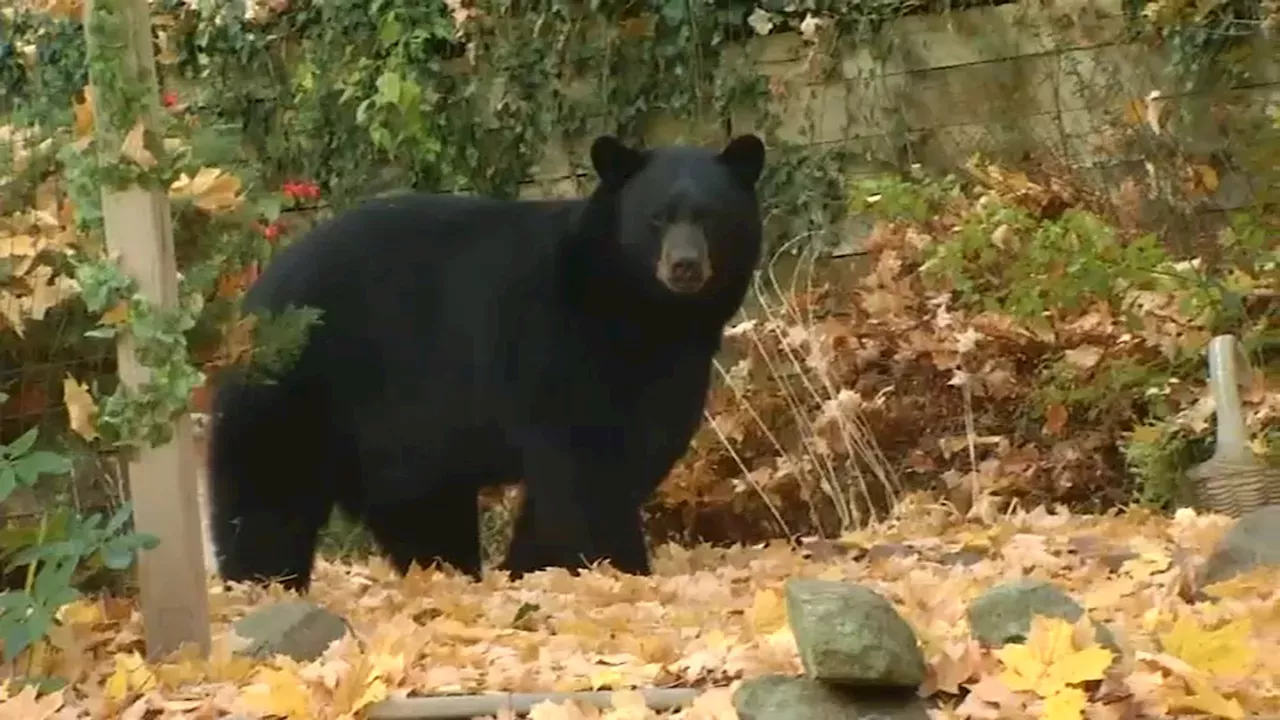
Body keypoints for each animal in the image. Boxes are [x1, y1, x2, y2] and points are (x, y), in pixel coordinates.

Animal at [208, 133, 762, 589]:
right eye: (656, 218)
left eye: (710, 216)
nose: (684, 265)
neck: (644, 311)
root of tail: (256, 294)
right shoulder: (559, 344)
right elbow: (586, 468)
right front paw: (618, 569)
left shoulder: (670, 367)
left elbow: (638, 449)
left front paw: (532, 566)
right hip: (305, 384)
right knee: (269, 489)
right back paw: (262, 581)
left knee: (419, 507)